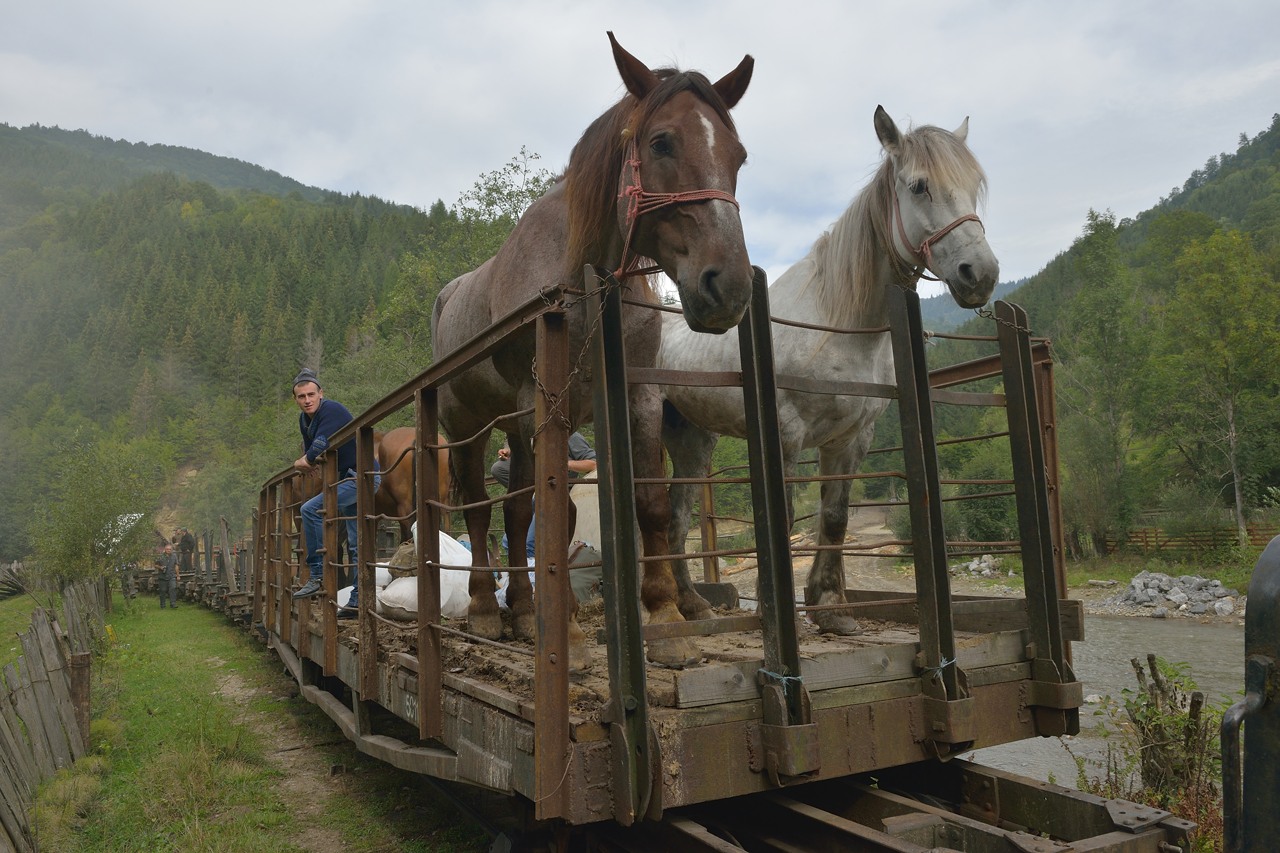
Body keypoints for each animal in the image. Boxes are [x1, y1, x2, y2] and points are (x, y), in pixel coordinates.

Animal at [432, 34, 747, 671]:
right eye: (661, 142)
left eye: (739, 155)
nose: (726, 285)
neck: (584, 276)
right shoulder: (541, 402)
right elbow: (555, 515)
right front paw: (572, 633)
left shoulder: (637, 392)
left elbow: (649, 504)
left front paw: (665, 617)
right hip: (468, 426)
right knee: (480, 511)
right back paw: (486, 609)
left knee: (512, 510)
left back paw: (523, 608)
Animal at [660, 106, 998, 630]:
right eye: (919, 185)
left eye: (974, 185)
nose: (980, 274)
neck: (835, 323)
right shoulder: (786, 435)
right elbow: (780, 519)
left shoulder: (851, 438)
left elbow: (835, 517)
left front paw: (830, 606)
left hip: (694, 442)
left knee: (676, 515)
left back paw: (692, 604)